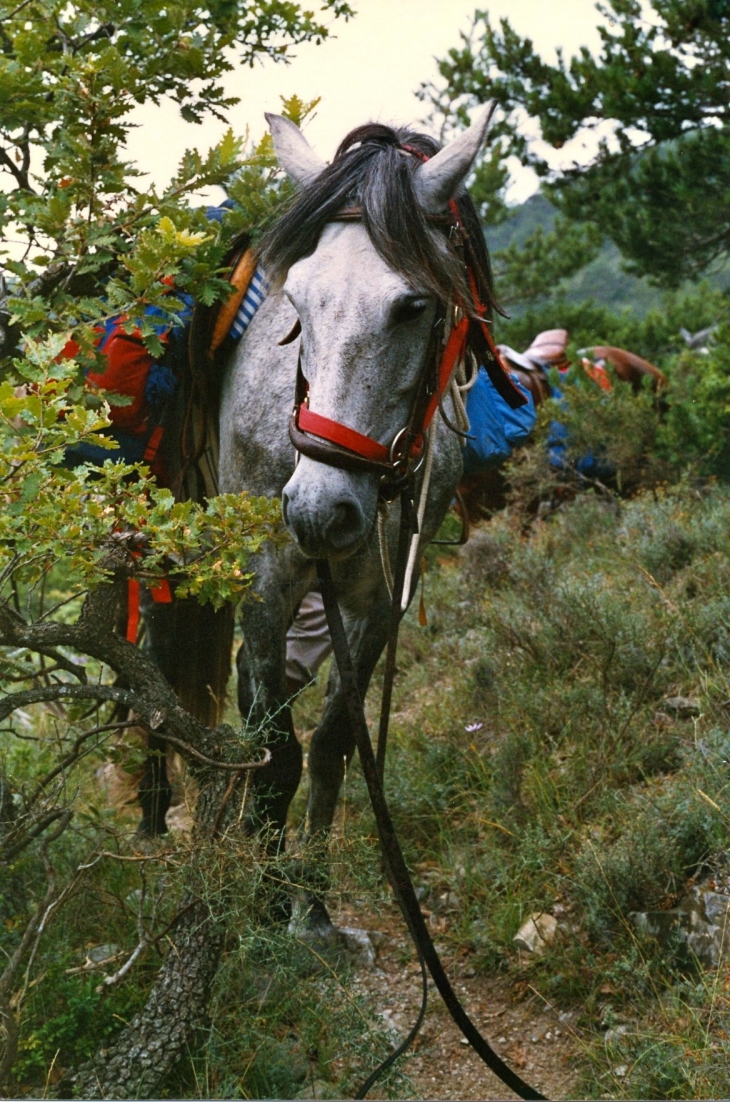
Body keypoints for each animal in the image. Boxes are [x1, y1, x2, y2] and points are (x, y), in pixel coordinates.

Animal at [147, 107, 513, 930]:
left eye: (413, 305)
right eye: (298, 302)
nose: (319, 512)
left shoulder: (375, 597)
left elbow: (332, 741)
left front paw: (308, 901)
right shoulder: (266, 580)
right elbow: (274, 749)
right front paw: (261, 899)